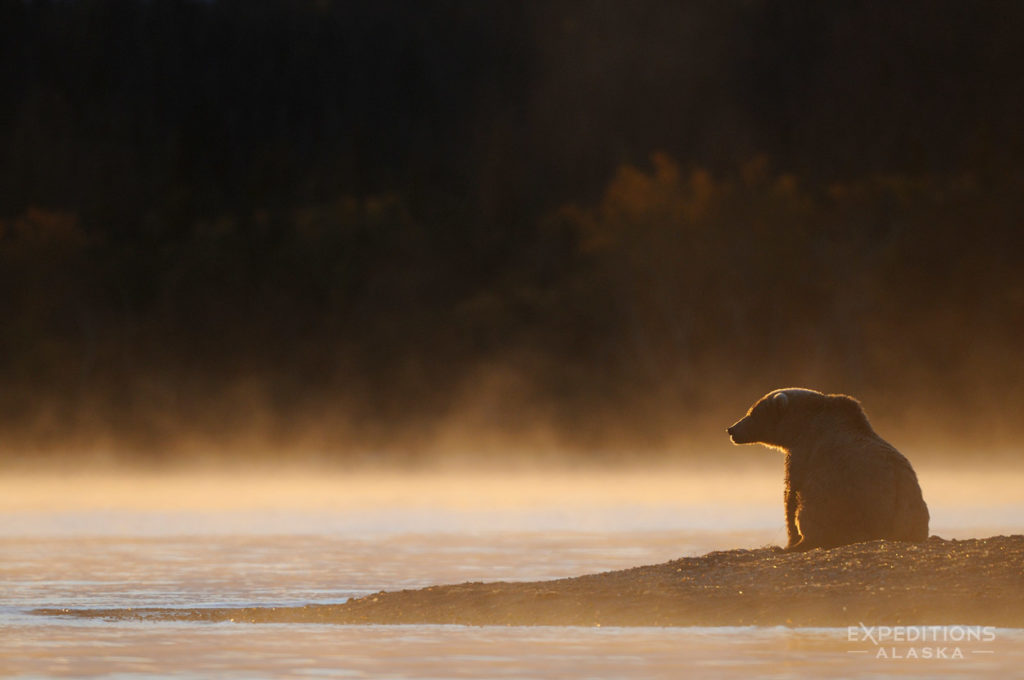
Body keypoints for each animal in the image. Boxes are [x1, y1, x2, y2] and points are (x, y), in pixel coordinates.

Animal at [729, 387, 929, 553]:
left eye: (752, 412)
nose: (732, 429)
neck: (797, 427)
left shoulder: (805, 452)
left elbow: (791, 494)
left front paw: (789, 541)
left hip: (847, 502)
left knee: (813, 511)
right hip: (912, 505)